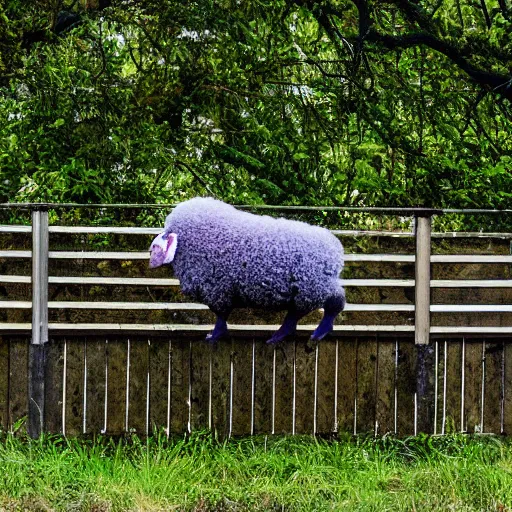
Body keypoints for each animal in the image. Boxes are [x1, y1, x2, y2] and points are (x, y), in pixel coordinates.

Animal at [150, 197, 346, 344]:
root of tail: (336, 250)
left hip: (313, 288)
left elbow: (221, 317)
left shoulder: (217, 290)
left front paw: (213, 336)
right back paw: (278, 337)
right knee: (297, 316)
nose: (151, 262)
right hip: (307, 291)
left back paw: (316, 333)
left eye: (154, 247)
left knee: (333, 304)